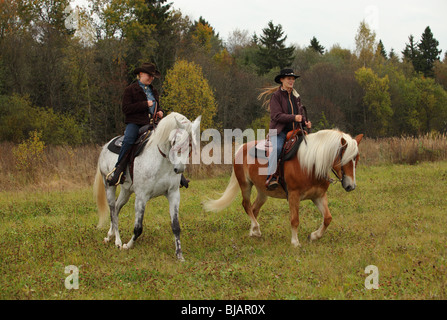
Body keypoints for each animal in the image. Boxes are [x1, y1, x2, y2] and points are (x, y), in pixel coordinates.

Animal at [93, 112, 202, 260]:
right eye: (175, 141)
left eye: (190, 144)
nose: (179, 169)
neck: (161, 160)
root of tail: (105, 146)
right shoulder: (141, 197)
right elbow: (138, 228)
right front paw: (128, 245)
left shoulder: (173, 194)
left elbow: (176, 226)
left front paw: (179, 255)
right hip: (109, 185)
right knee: (112, 209)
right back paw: (118, 241)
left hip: (126, 190)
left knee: (116, 207)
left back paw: (110, 236)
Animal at [203, 129, 364, 246]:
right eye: (344, 158)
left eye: (356, 159)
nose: (351, 186)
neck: (310, 163)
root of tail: (241, 148)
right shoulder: (293, 195)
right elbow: (294, 219)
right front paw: (295, 242)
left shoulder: (318, 196)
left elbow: (328, 218)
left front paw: (313, 236)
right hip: (245, 184)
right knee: (246, 205)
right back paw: (257, 229)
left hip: (263, 192)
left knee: (254, 209)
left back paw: (253, 232)